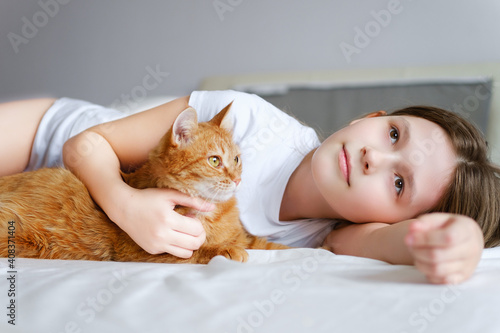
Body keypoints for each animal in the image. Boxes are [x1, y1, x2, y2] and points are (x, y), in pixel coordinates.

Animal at [0, 102, 290, 264]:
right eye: (215, 160)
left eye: (237, 159)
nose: (238, 179)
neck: (215, 214)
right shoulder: (139, 251)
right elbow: (194, 252)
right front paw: (223, 250)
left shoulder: (248, 238)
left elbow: (277, 246)